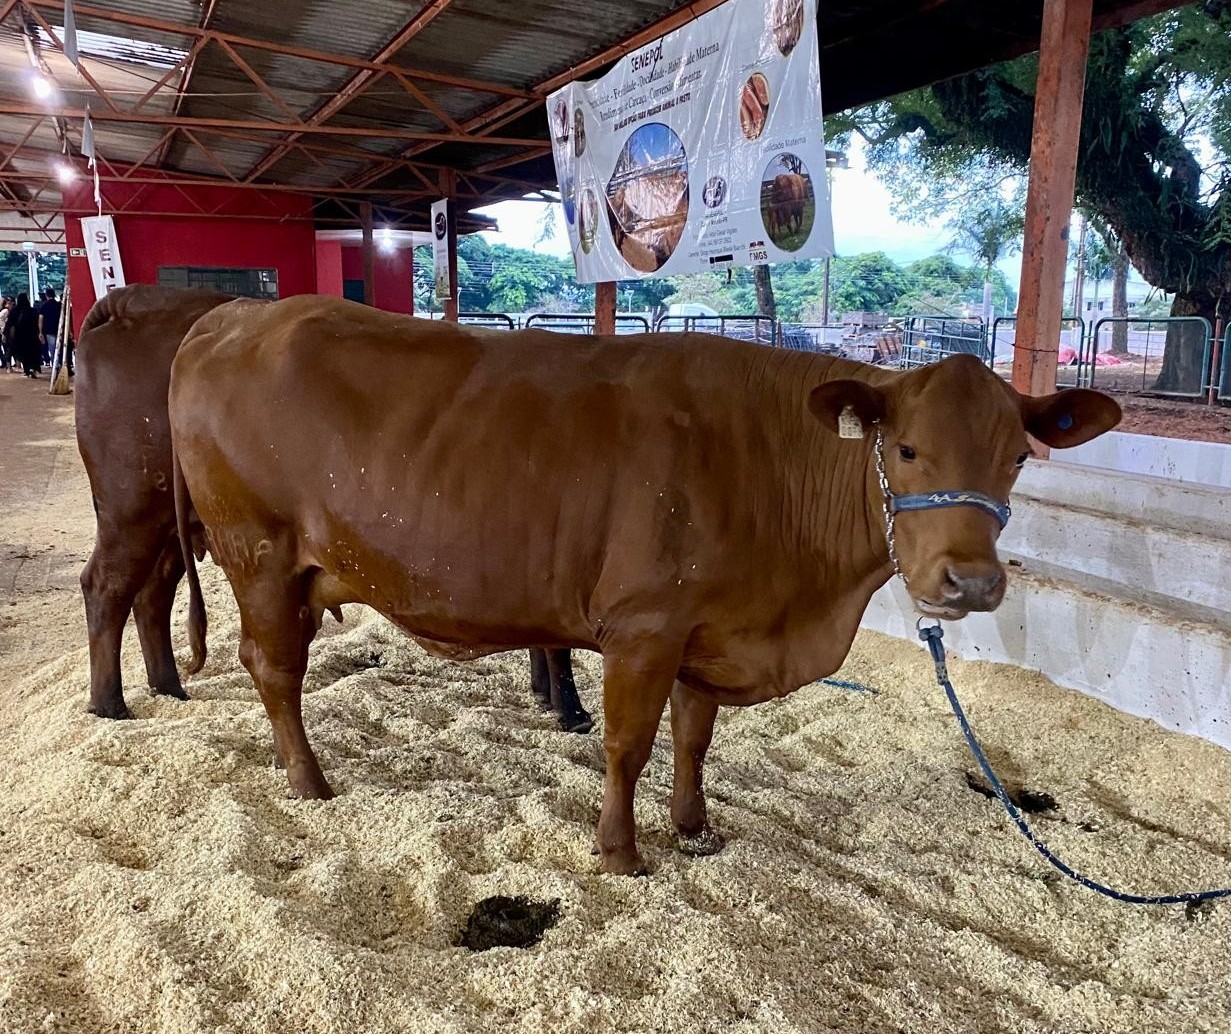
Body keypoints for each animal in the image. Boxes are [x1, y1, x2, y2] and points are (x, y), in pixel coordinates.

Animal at [76, 284, 590, 728]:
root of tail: (130, 301)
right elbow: (557, 642)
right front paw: (570, 709)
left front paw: (546, 694)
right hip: (132, 508)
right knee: (106, 586)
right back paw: (110, 704)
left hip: (169, 524)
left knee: (151, 592)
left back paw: (167, 687)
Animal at [168, 295, 1122, 876]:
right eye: (907, 448)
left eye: (1016, 457)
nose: (970, 581)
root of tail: (239, 312)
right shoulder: (644, 626)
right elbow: (627, 744)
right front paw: (620, 852)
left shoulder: (709, 630)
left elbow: (694, 738)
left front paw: (694, 827)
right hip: (258, 552)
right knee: (273, 667)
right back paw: (309, 783)